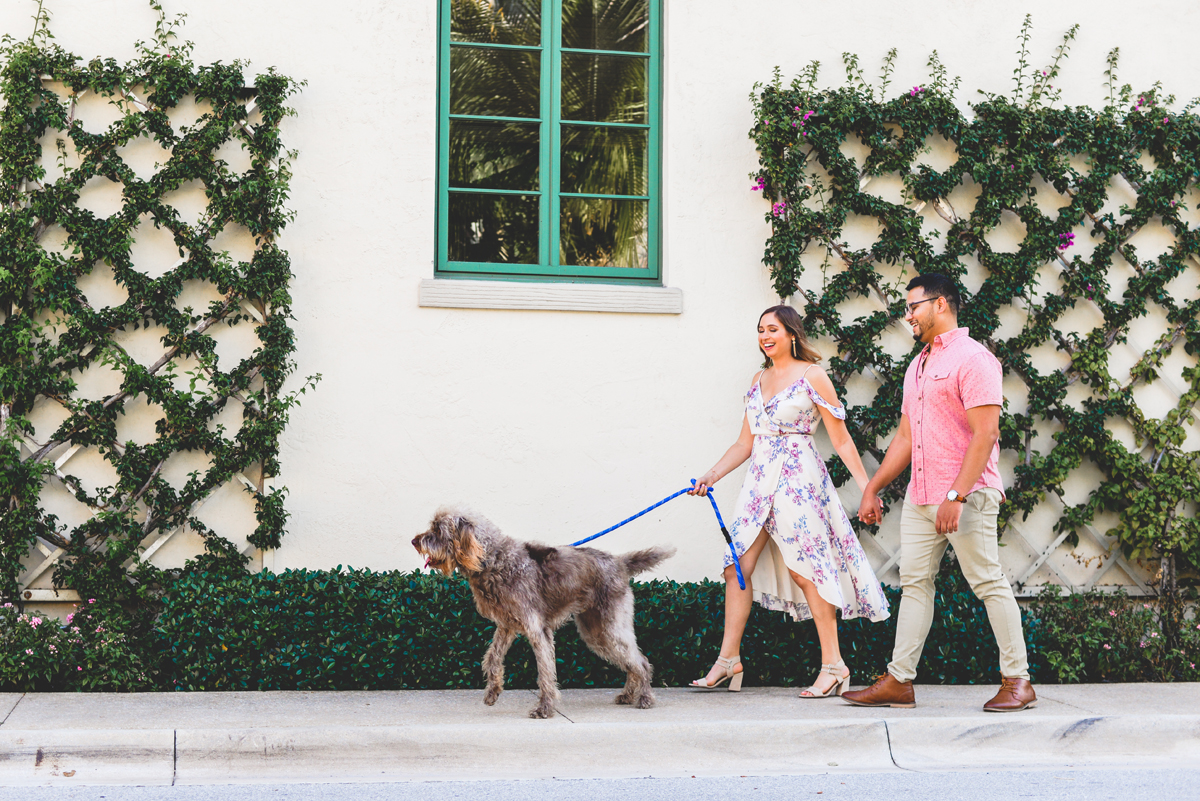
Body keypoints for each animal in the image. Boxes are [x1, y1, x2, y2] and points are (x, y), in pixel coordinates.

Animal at [412, 506, 676, 719]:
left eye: (437, 530)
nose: (415, 541)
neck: (493, 560)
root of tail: (620, 562)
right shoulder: (507, 625)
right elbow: (493, 657)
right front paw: (493, 691)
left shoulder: (537, 629)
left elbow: (545, 672)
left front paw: (545, 708)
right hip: (596, 632)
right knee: (631, 661)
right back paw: (628, 695)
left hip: (608, 626)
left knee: (640, 661)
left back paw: (645, 698)